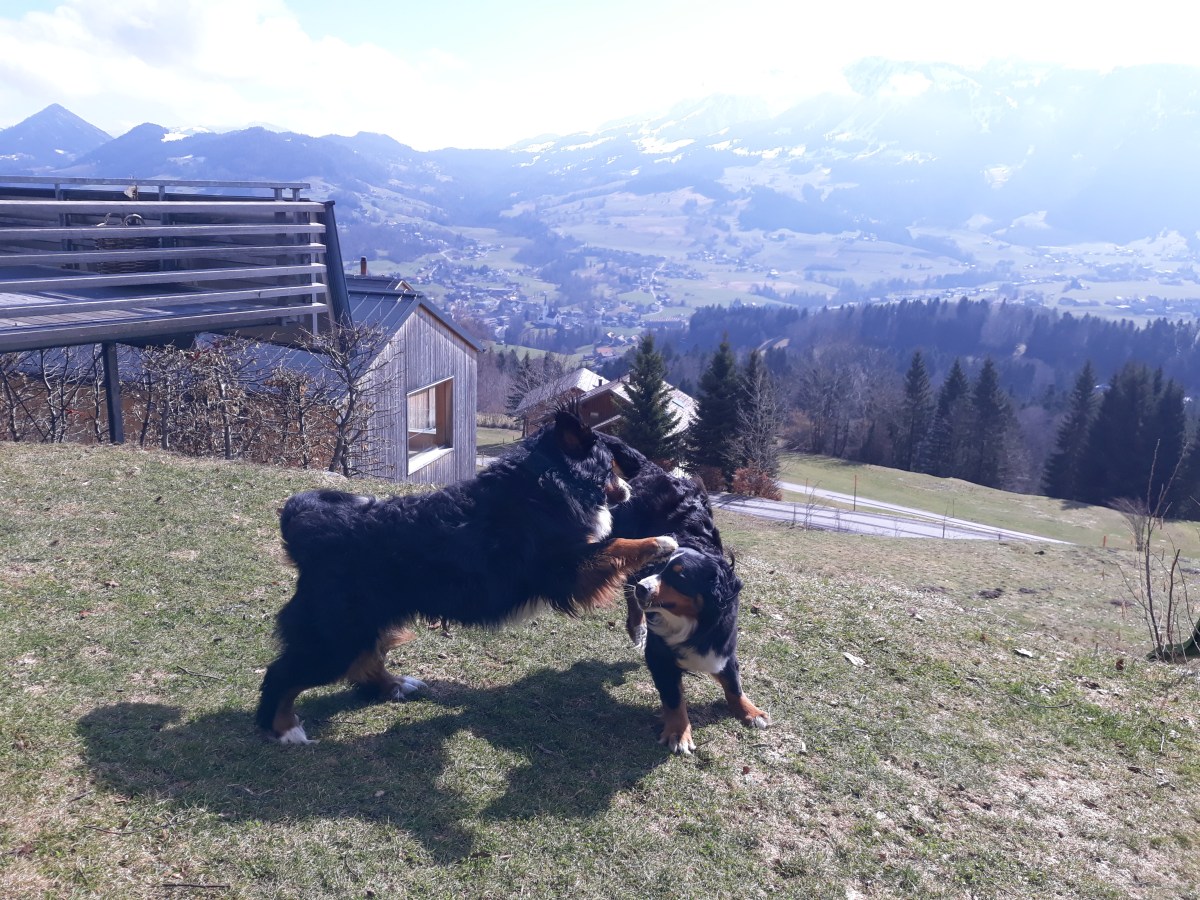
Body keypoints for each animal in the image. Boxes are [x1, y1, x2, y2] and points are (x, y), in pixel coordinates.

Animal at [256, 411, 677, 744]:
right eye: (609, 465)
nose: (629, 488)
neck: (547, 477)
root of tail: (308, 527)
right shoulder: (564, 569)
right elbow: (616, 543)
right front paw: (660, 541)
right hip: (334, 636)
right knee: (283, 673)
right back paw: (284, 728)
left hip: (365, 623)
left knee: (363, 661)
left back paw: (394, 685)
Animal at [601, 435, 769, 755]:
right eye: (660, 568)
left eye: (679, 576)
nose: (645, 587)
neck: (688, 620)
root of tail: (653, 469)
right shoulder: (660, 656)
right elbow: (674, 697)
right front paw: (679, 733)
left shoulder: (722, 642)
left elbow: (733, 683)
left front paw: (750, 711)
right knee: (629, 593)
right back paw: (637, 626)